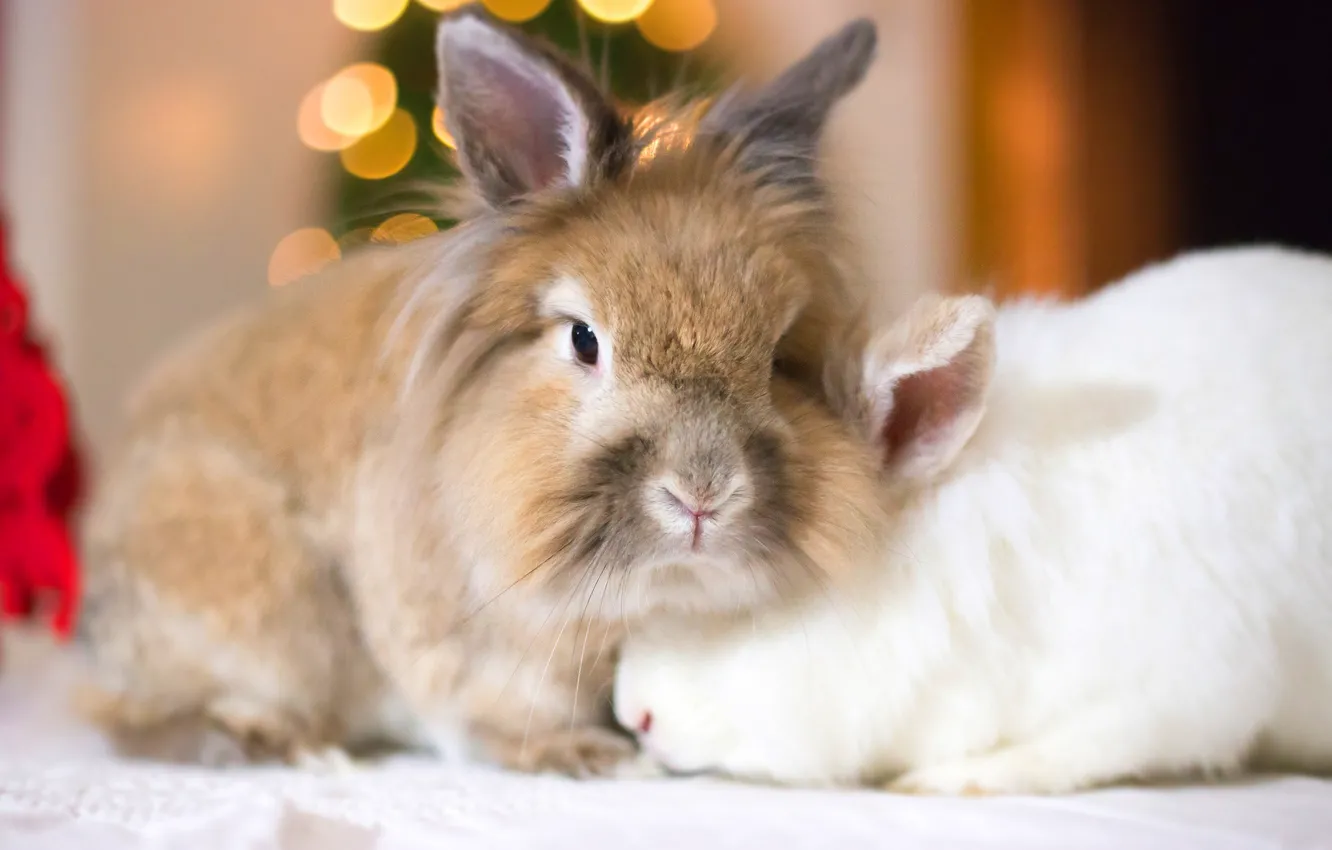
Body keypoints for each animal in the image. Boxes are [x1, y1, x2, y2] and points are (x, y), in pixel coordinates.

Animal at [76, 8, 888, 776]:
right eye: (584, 340)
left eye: (779, 355)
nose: (702, 496)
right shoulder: (464, 645)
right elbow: (491, 715)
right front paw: (585, 755)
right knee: (131, 720)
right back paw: (276, 747)